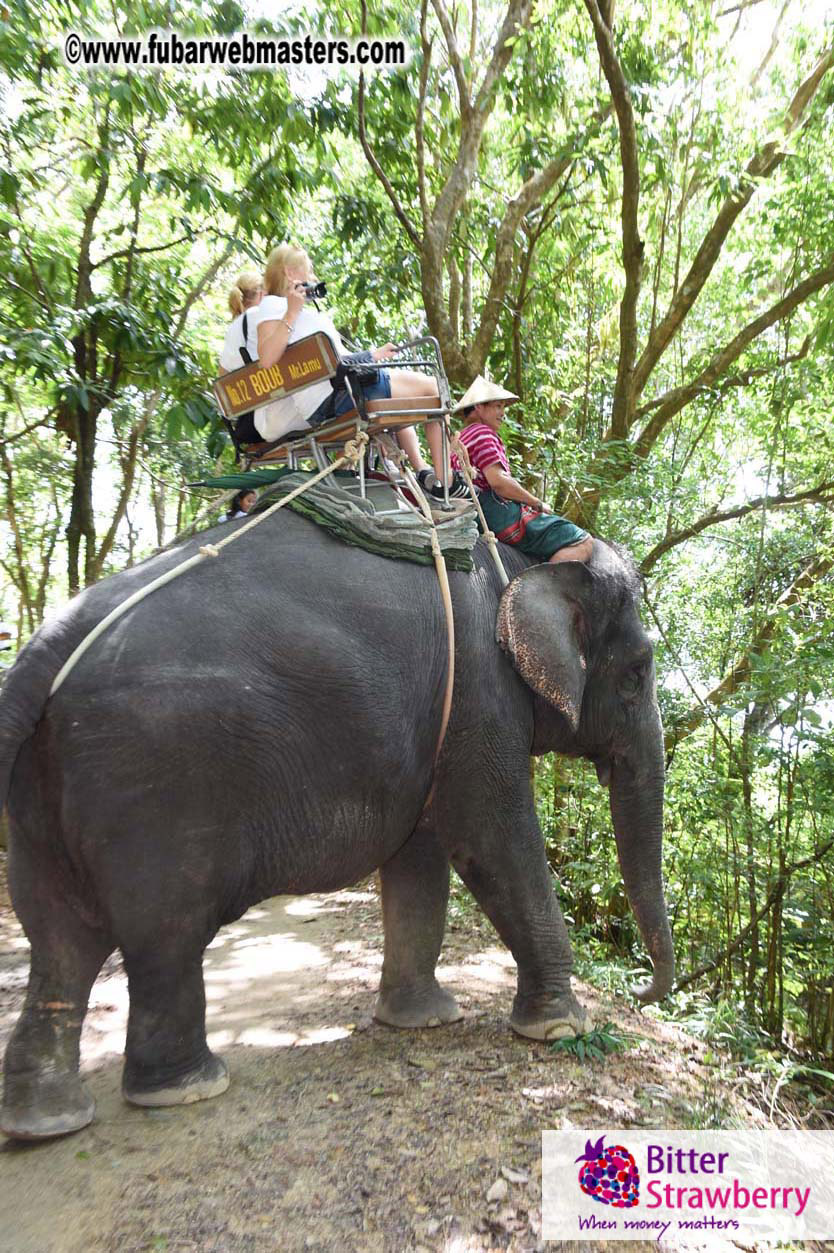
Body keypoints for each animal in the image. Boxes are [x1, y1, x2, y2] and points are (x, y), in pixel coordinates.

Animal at [0, 507, 674, 1140]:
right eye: (638, 673)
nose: (641, 992)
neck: (521, 562)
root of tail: (42, 653)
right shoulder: (480, 692)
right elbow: (487, 836)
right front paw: (561, 1026)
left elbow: (419, 857)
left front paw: (422, 1020)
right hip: (153, 780)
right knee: (165, 931)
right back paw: (186, 1088)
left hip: (42, 791)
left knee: (60, 937)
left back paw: (44, 1119)